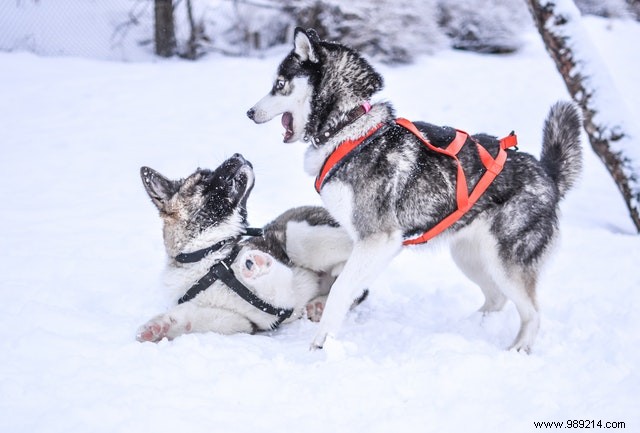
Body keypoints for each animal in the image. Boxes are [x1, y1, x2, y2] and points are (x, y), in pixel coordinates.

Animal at [137, 153, 356, 340]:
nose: (238, 154)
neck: (208, 256)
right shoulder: (238, 321)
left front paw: (257, 265)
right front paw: (159, 327)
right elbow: (190, 316)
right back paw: (320, 304)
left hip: (299, 235)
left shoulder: (286, 293)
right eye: (203, 178)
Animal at [246, 26, 584, 352]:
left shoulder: (377, 239)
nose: (249, 112)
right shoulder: (375, 245)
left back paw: (518, 349)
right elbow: (347, 283)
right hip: (469, 257)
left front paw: (321, 342)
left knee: (533, 313)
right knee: (496, 299)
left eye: (279, 84)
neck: (348, 128)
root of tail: (548, 174)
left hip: (507, 263)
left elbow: (341, 288)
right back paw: (469, 327)